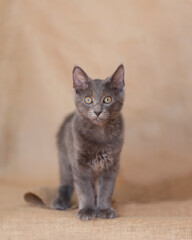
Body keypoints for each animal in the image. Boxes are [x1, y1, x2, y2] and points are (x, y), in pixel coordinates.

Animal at [51, 64, 125, 220]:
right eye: (88, 100)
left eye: (107, 99)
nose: (97, 111)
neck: (99, 132)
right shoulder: (79, 164)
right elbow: (84, 190)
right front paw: (87, 210)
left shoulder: (112, 164)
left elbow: (106, 189)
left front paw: (104, 209)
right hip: (64, 158)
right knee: (65, 183)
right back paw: (60, 202)